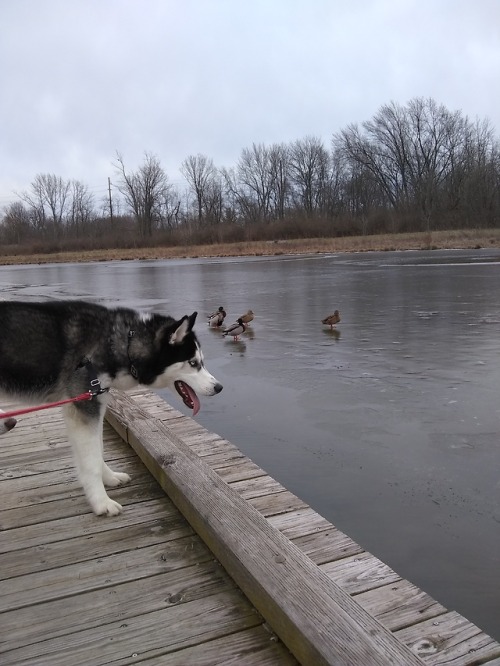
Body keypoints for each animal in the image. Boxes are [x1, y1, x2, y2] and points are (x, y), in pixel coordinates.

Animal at [0, 300, 223, 512]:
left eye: (201, 362)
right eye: (193, 363)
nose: (219, 387)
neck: (123, 344)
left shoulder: (90, 407)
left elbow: (98, 451)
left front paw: (109, 478)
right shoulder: (86, 409)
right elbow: (91, 462)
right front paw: (101, 503)